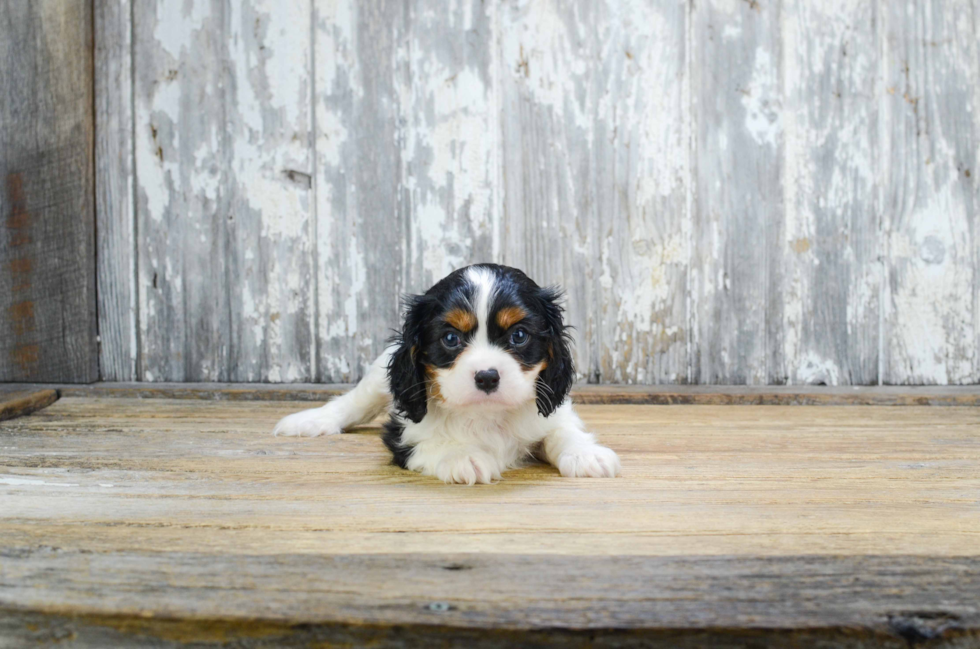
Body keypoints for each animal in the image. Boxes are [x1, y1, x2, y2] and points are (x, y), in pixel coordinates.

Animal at [270, 262, 620, 480]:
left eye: (519, 335)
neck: (486, 415)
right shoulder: (403, 434)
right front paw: (463, 455)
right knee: (355, 401)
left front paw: (585, 454)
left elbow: (563, 430)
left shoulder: (551, 410)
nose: (487, 376)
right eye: (450, 338)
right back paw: (312, 420)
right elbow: (429, 442)